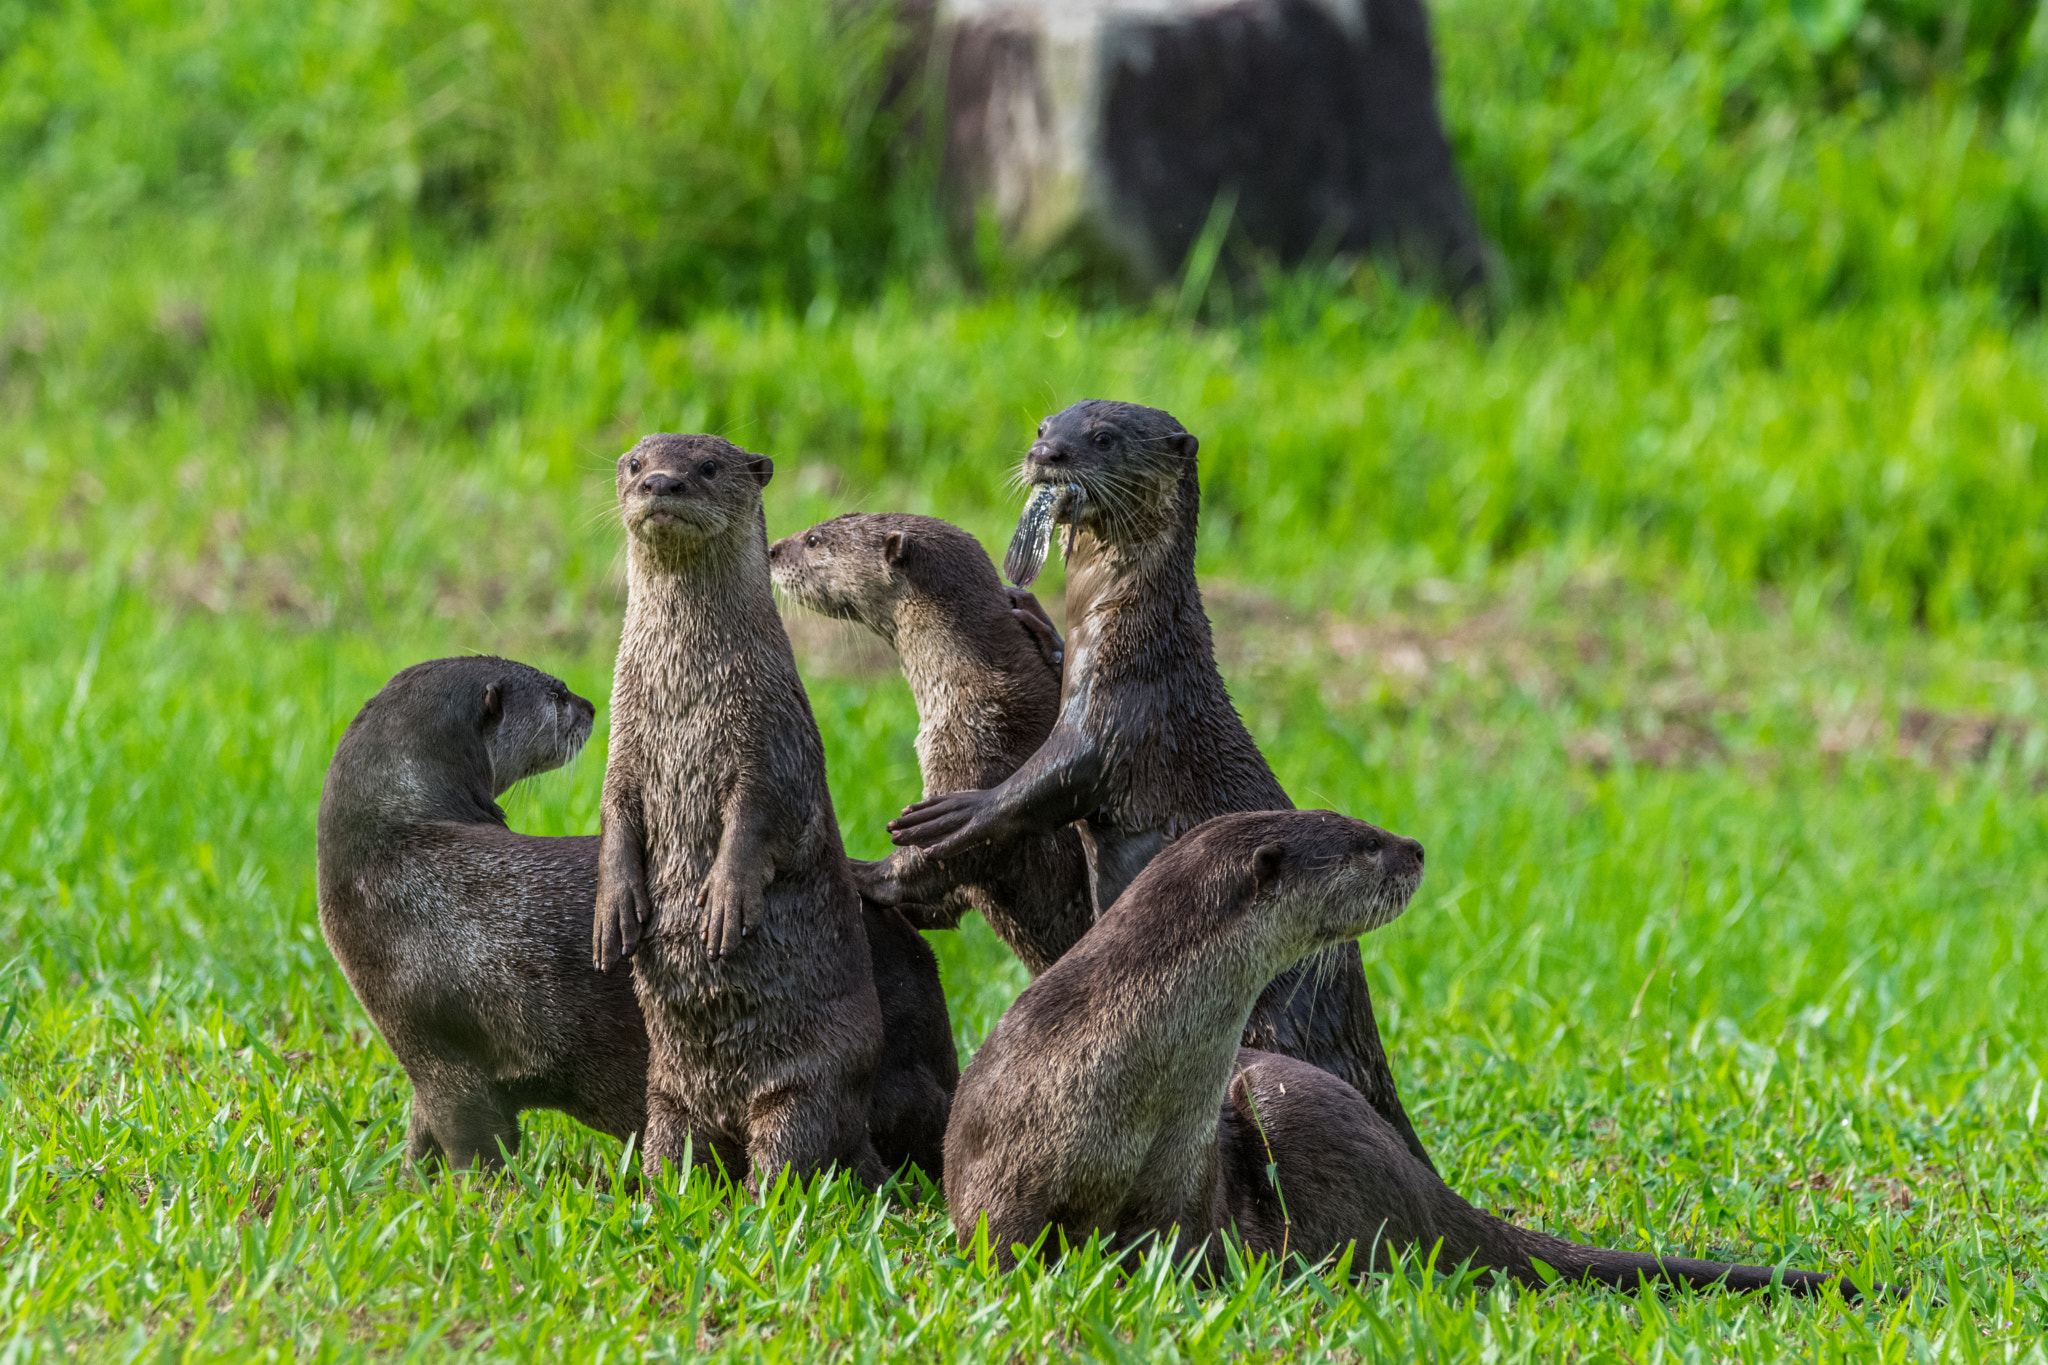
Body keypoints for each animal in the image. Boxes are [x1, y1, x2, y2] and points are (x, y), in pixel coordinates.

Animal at [316, 656, 646, 1168]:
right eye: (558, 693)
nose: (592, 705)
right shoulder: (432, 1062)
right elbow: (427, 1134)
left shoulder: (437, 1054)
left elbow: (472, 1145)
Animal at [592, 433, 897, 1191]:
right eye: (635, 464)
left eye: (706, 467)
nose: (662, 483)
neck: (683, 697)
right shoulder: (624, 750)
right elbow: (614, 818)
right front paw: (613, 910)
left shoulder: (771, 745)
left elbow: (758, 820)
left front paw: (726, 900)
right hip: (665, 1094)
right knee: (677, 1150)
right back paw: (655, 1194)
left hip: (810, 1084)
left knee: (790, 1157)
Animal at [768, 512, 1094, 974]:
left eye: (814, 539)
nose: (773, 549)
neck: (966, 681)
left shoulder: (979, 744)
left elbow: (955, 850)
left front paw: (859, 871)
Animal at [881, 400, 1433, 1169]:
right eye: (1045, 425)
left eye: (1103, 438)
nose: (1045, 455)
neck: (1123, 619)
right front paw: (1035, 620)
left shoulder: (1123, 710)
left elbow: (1044, 785)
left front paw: (952, 815)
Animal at [947, 809, 1869, 1298]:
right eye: (1359, 843)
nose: (1417, 847)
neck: (1114, 1074)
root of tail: (1427, 1187)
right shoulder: (1000, 1165)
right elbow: (997, 1240)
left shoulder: (1181, 1192)